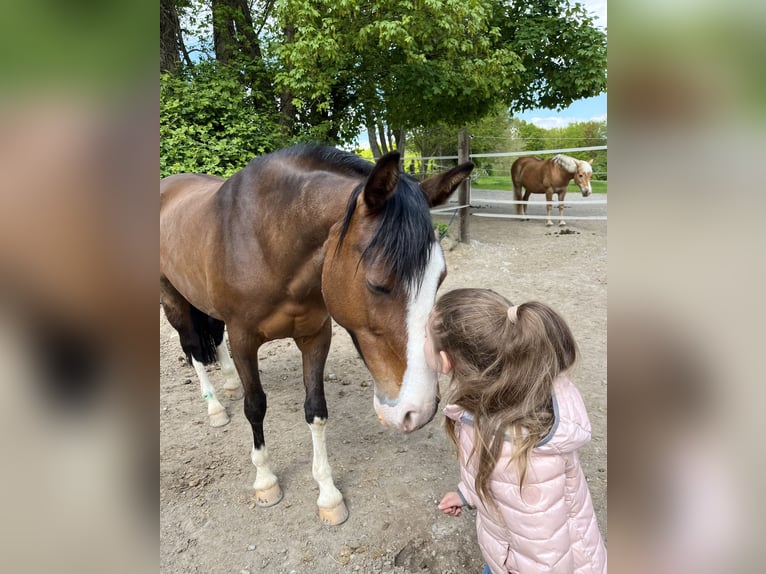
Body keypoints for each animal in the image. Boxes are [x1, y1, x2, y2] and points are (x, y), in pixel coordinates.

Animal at [160, 145, 473, 525]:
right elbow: (255, 406)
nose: (419, 411)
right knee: (193, 349)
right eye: (377, 283)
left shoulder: (315, 336)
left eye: (440, 278)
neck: (267, 241)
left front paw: (328, 494)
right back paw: (215, 408)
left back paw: (231, 384)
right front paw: (265, 480)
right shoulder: (243, 339)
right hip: (173, 298)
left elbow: (316, 410)